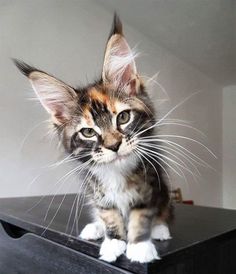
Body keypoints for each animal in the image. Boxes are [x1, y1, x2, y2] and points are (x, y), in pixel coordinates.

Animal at [15, 14, 173, 264]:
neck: (117, 173)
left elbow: (142, 213)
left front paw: (139, 245)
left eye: (123, 117)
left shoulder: (150, 181)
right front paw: (114, 241)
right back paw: (95, 228)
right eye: (88, 132)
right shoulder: (96, 189)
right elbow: (108, 213)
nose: (114, 145)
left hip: (164, 190)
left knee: (164, 210)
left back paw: (160, 229)